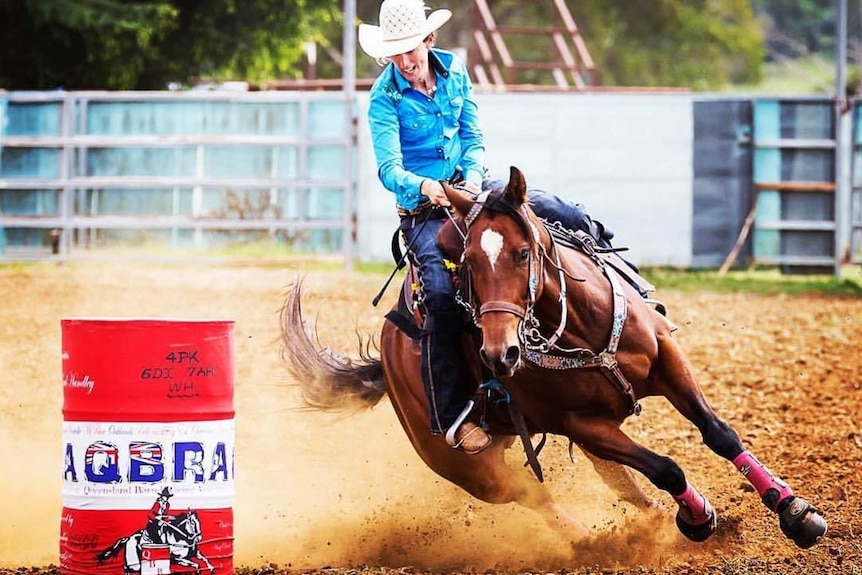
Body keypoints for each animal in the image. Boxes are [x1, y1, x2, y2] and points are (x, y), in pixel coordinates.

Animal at [280, 165, 828, 548]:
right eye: (468, 262)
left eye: (523, 253)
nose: (500, 352)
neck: (582, 326)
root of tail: (388, 356)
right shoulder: (578, 422)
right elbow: (667, 467)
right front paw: (696, 520)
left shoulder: (668, 361)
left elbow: (718, 433)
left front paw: (795, 513)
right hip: (463, 464)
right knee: (531, 494)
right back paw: (599, 545)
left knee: (619, 481)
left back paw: (651, 521)